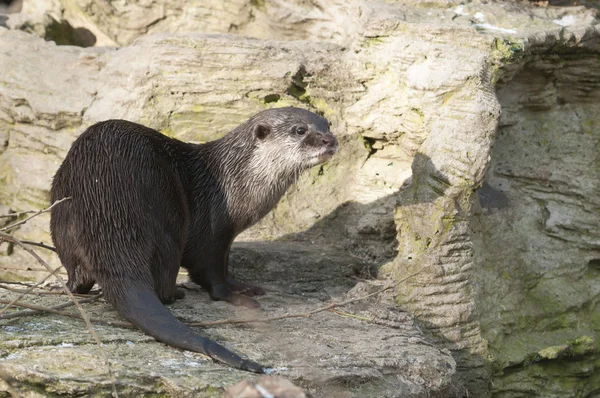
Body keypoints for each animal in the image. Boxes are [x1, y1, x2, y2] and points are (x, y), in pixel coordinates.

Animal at [48, 106, 338, 374]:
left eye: (328, 124)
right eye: (300, 130)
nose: (329, 140)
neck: (234, 181)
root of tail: (107, 207)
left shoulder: (226, 238)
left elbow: (225, 267)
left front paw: (242, 286)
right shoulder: (213, 229)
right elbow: (210, 273)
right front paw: (234, 295)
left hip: (61, 221)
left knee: (78, 274)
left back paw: (64, 287)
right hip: (170, 219)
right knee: (164, 279)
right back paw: (177, 292)